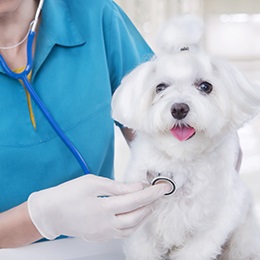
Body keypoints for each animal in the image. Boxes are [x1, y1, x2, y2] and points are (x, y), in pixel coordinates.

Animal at [111, 16, 260, 260]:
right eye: (160, 87)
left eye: (205, 86)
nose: (179, 108)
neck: (180, 160)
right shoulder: (141, 224)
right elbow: (142, 247)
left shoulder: (213, 224)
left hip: (244, 237)